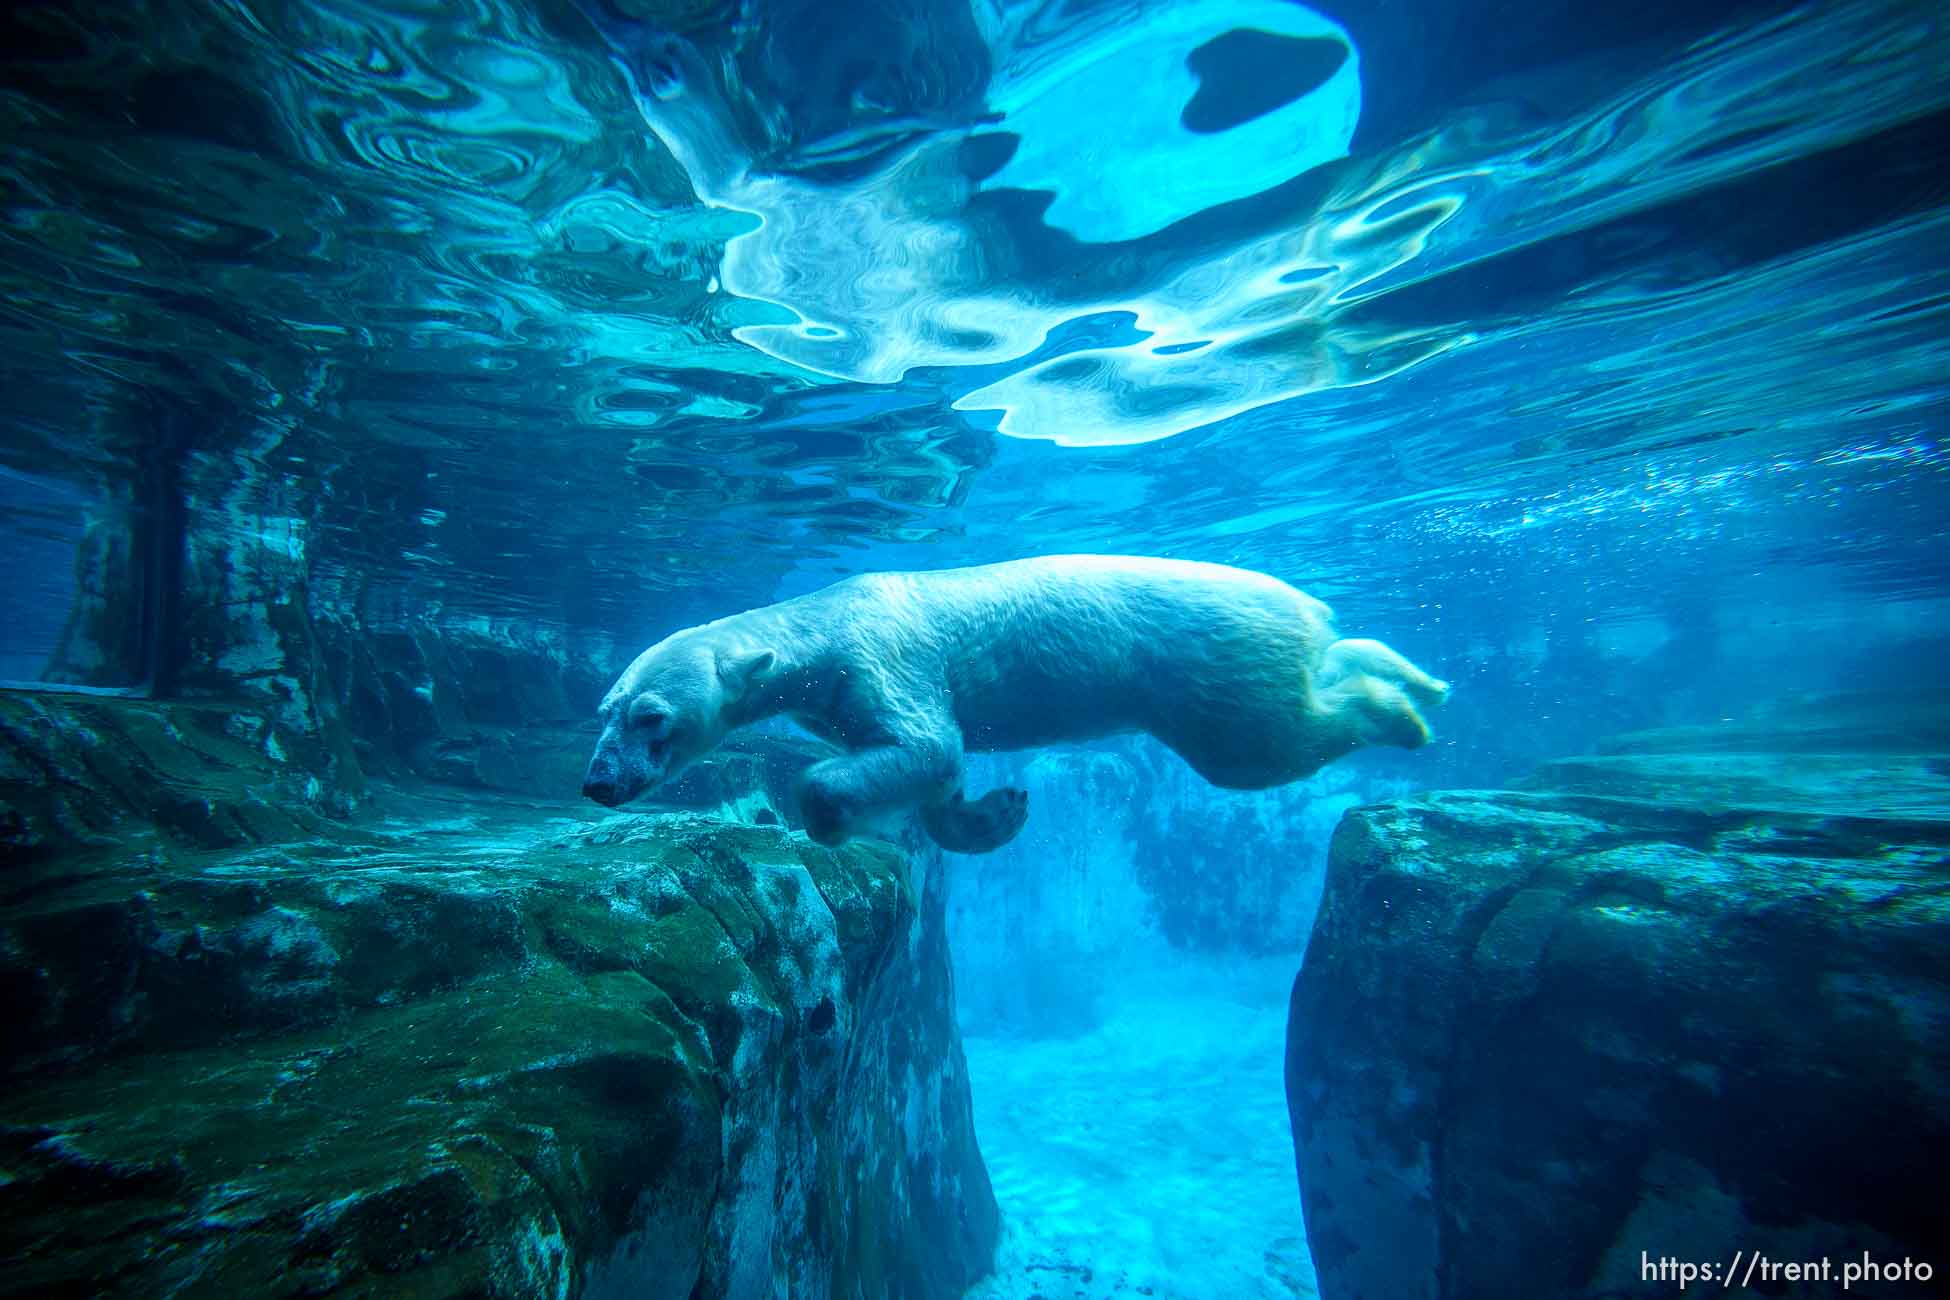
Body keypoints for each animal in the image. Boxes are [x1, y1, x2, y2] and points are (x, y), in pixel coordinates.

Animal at [577, 557, 1450, 853]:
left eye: (651, 718)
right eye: (604, 709)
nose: (598, 782)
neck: (820, 622)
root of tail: (1305, 605)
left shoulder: (881, 655)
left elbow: (922, 743)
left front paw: (832, 818)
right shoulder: (838, 693)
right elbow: (936, 765)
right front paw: (993, 813)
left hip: (1210, 672)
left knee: (1271, 742)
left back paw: (1408, 710)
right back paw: (1415, 678)